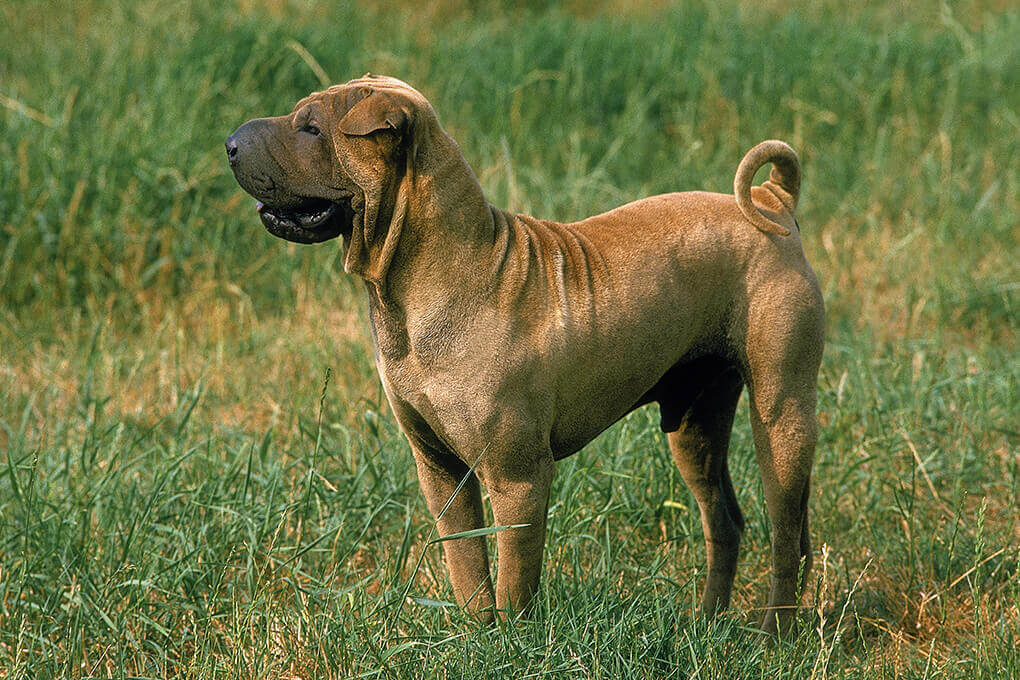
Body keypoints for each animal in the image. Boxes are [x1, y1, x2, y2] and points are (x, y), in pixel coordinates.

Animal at [227, 75, 824, 640]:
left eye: (311, 129)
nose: (230, 143)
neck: (426, 280)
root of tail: (772, 200)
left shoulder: (518, 479)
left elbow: (514, 579)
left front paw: (514, 643)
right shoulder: (441, 471)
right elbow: (467, 564)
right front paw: (477, 637)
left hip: (782, 414)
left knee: (785, 538)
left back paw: (772, 636)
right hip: (695, 424)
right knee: (725, 521)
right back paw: (707, 624)